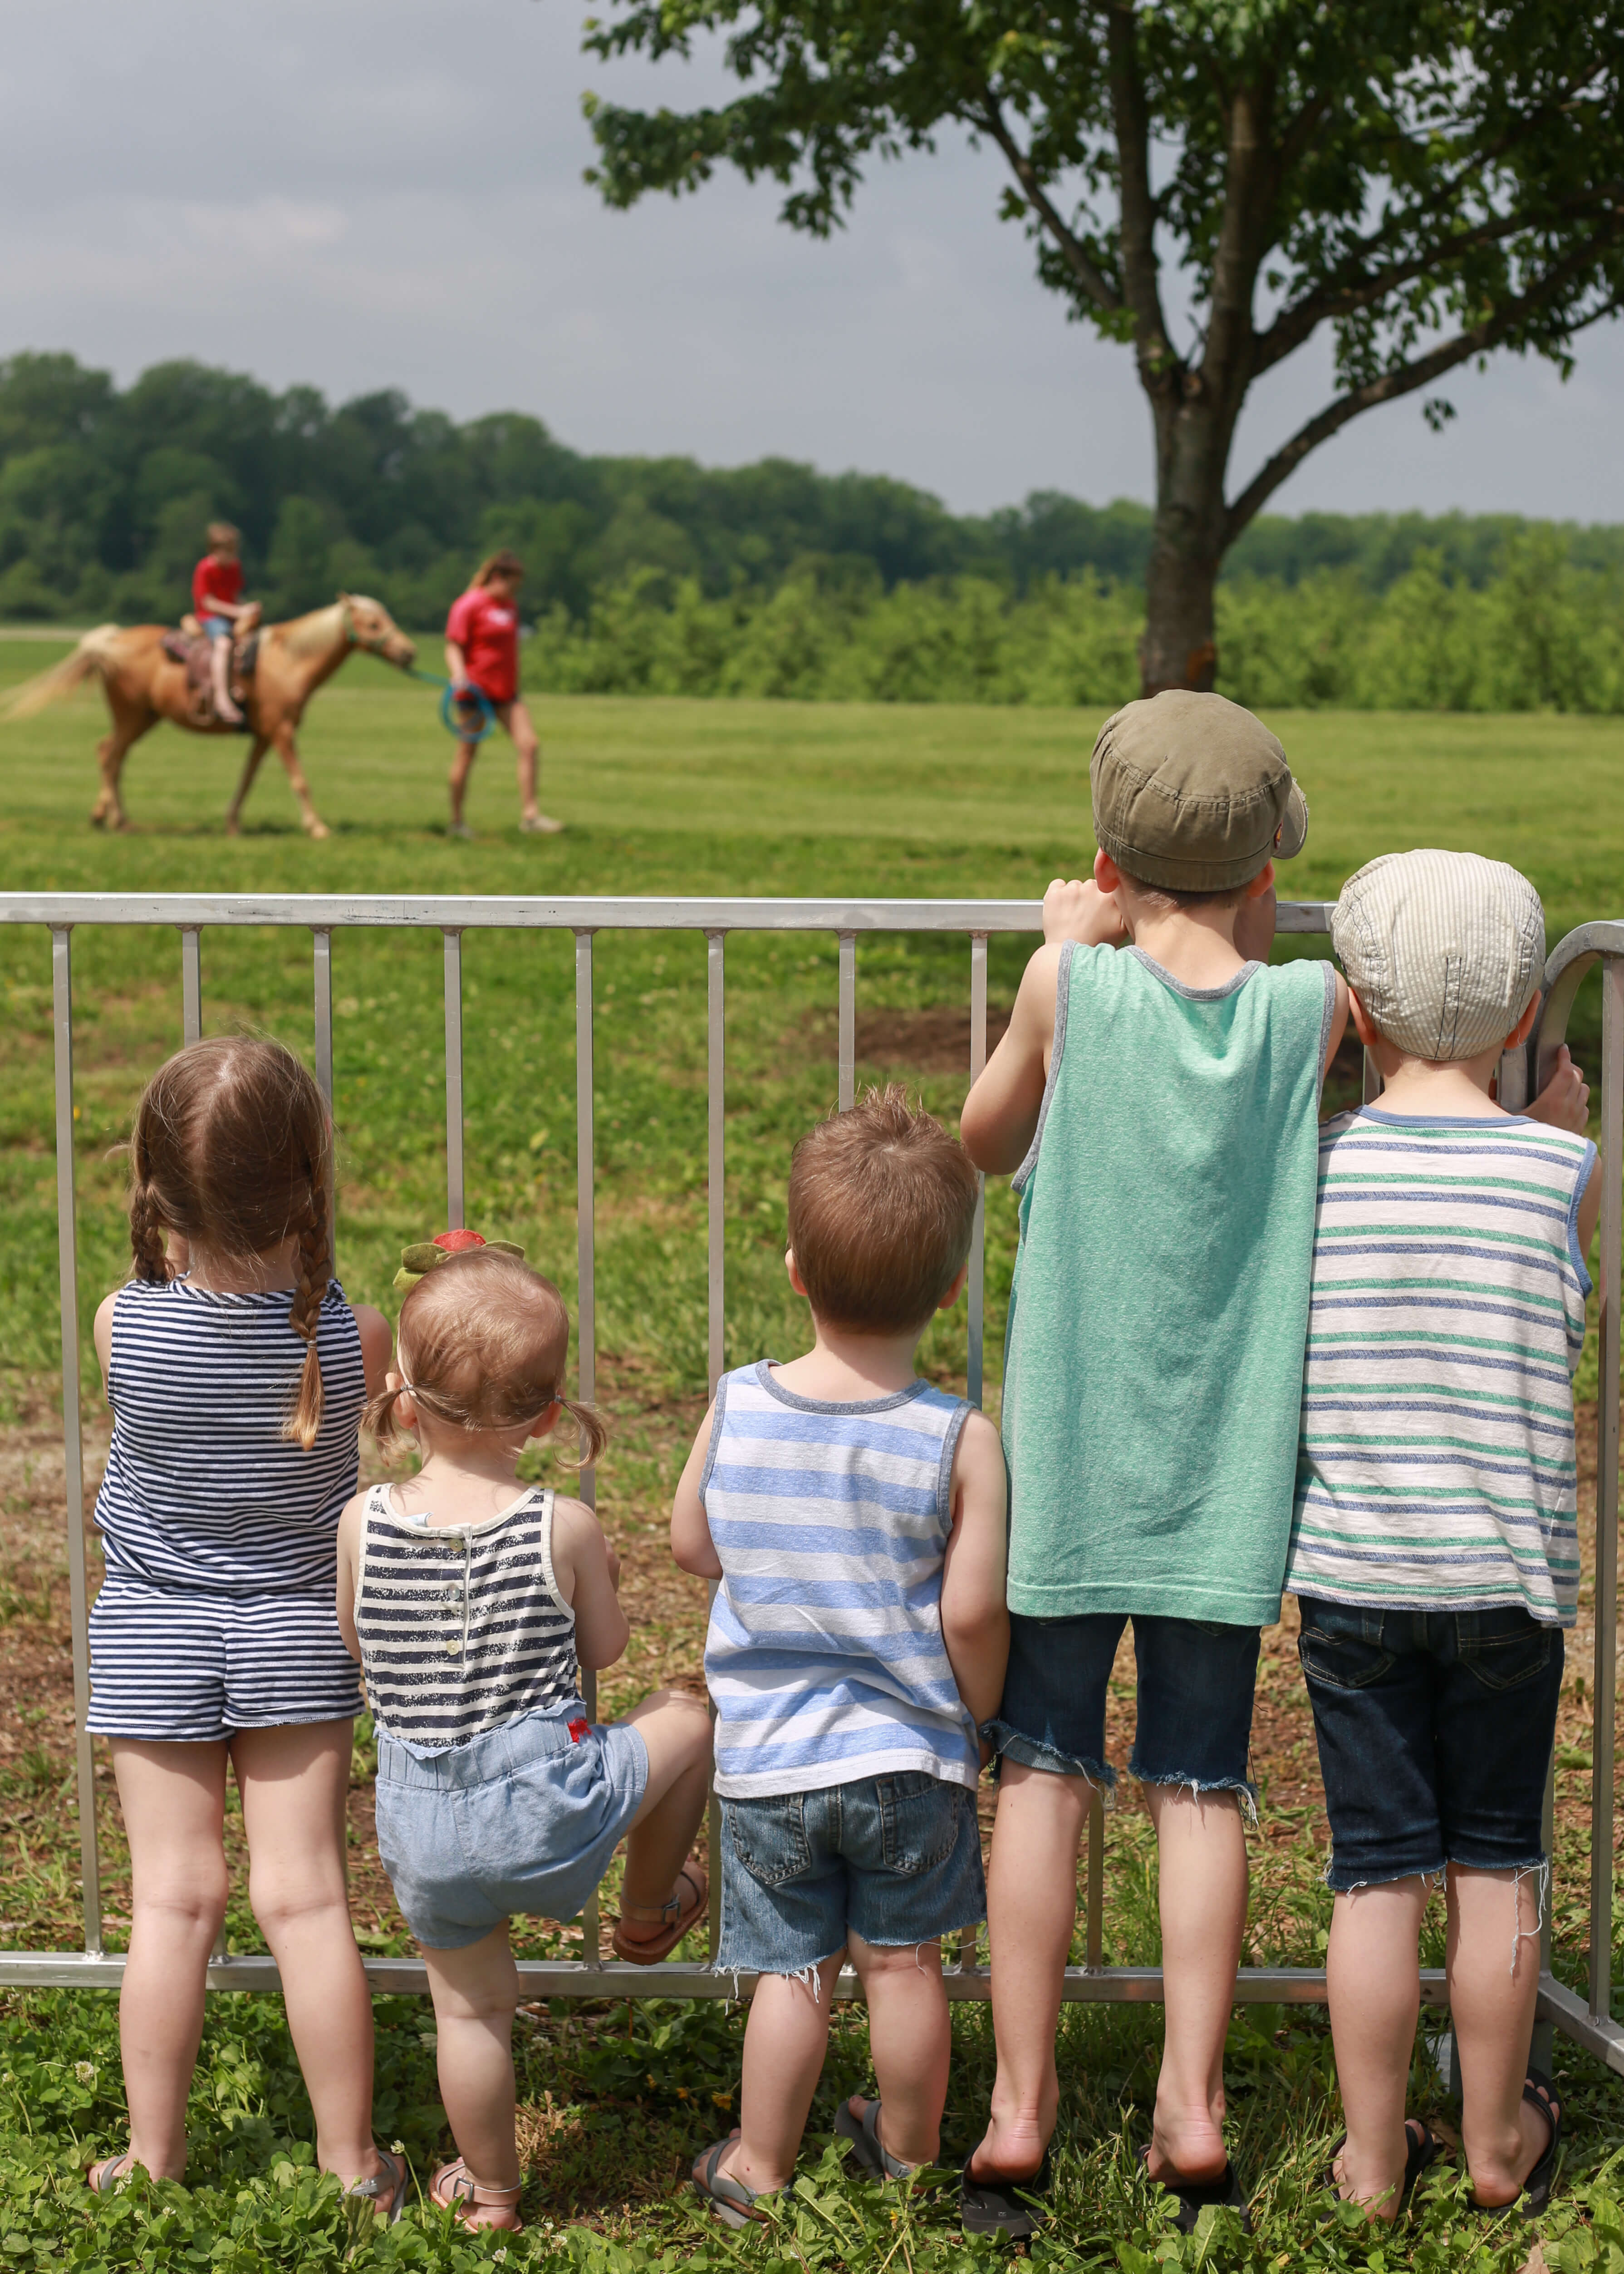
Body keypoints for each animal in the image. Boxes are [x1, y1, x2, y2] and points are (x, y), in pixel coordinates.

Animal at [3, 596, 418, 846]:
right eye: (374, 624)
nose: (410, 653)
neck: (288, 662)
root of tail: (110, 641)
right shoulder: (281, 731)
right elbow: (299, 780)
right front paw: (317, 827)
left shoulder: (264, 735)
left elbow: (246, 780)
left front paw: (232, 823)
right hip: (132, 714)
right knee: (109, 754)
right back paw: (116, 819)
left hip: (143, 718)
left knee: (112, 755)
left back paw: (108, 816)